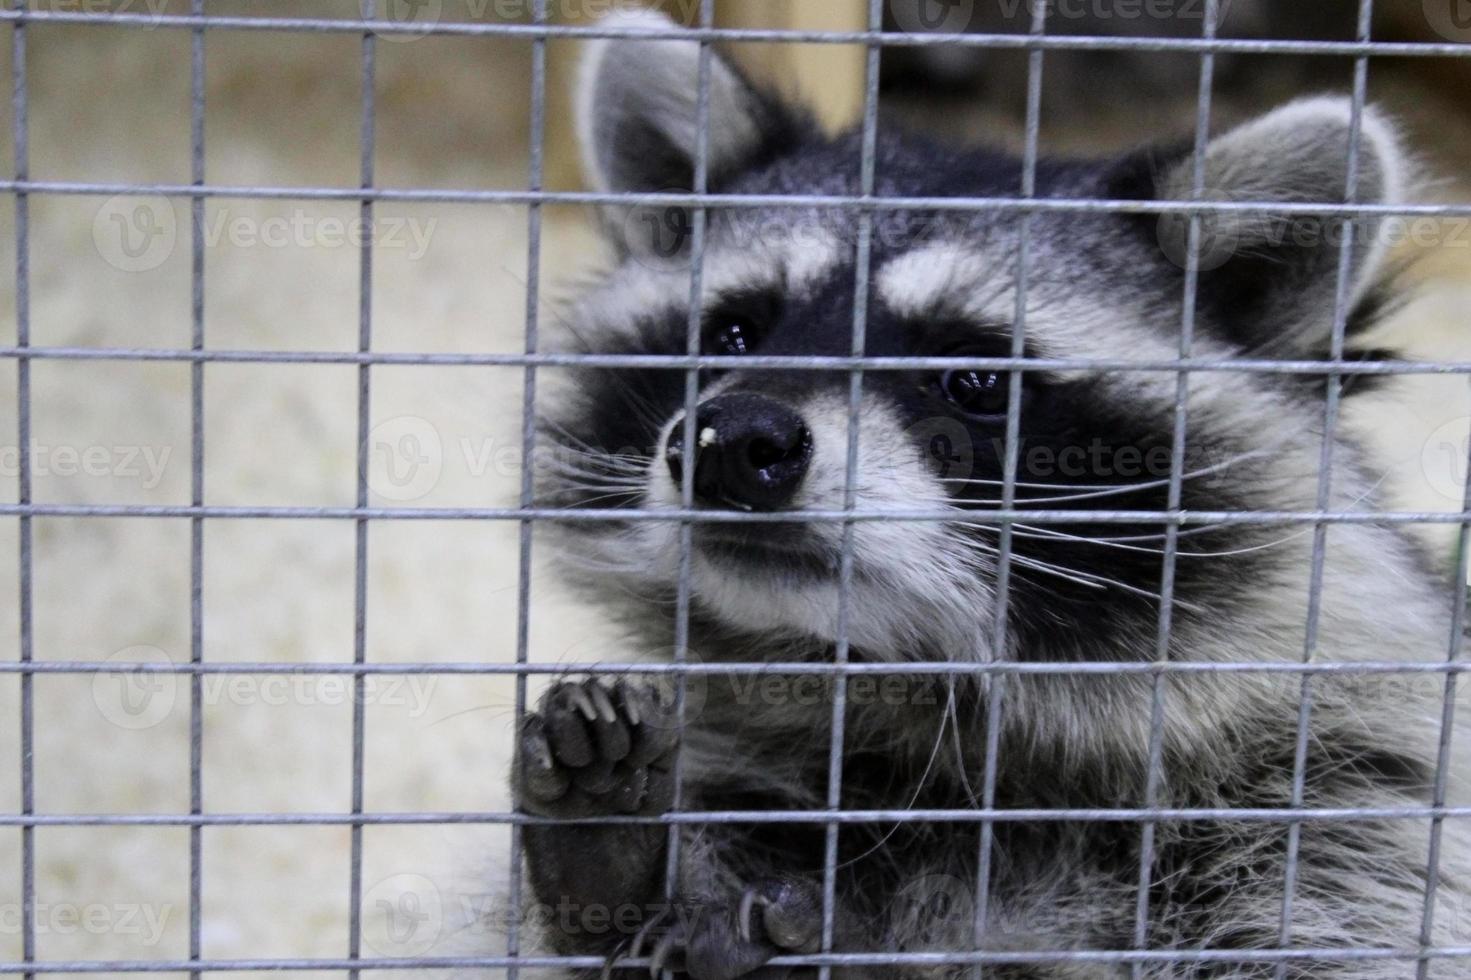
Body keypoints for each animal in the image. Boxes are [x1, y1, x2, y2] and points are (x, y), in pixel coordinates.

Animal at [508, 9, 1471, 977]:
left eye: (973, 380)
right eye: (734, 334)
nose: (734, 444)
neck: (911, 694)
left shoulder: (1341, 811)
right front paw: (618, 877)